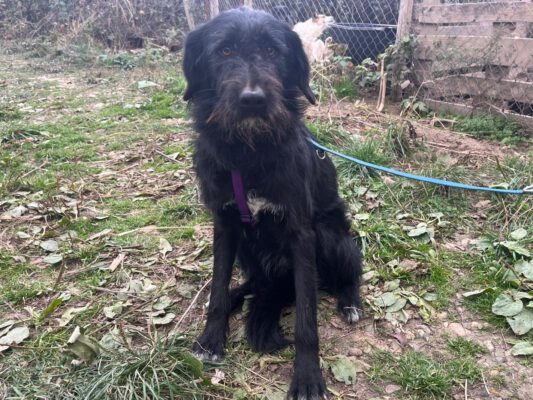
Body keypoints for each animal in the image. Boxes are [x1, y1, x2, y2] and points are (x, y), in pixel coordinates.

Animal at [182, 7, 363, 399]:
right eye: (225, 51)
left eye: (272, 51)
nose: (253, 99)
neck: (248, 151)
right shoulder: (225, 224)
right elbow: (217, 287)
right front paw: (211, 339)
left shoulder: (301, 234)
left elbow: (307, 318)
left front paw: (308, 377)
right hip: (248, 249)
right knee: (253, 281)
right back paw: (239, 295)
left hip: (331, 235)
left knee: (350, 271)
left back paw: (350, 302)